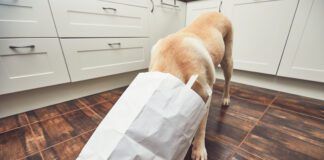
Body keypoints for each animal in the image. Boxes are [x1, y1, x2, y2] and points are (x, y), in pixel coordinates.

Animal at [149, 11, 233, 159]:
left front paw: (198, 149)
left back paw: (225, 98)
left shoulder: (204, 95)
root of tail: (218, 12)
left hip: (227, 59)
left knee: (228, 80)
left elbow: (201, 126)